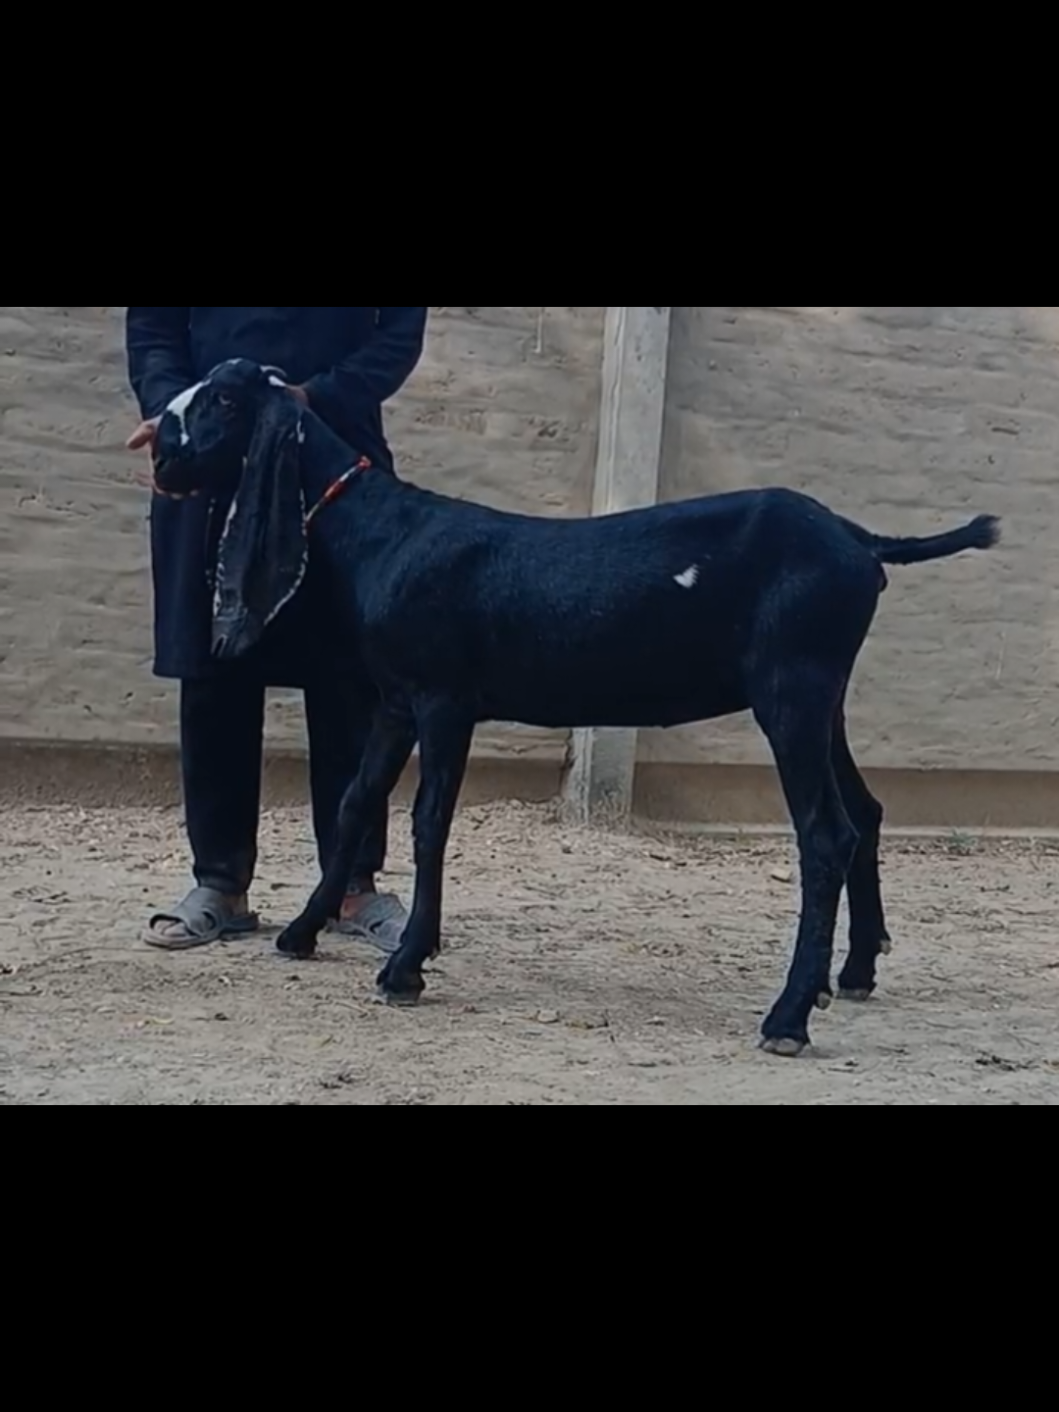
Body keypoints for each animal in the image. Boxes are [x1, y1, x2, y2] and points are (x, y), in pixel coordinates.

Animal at [153, 358, 1001, 1057]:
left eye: (223, 400)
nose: (161, 450)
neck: (387, 533)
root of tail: (863, 542)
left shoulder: (444, 701)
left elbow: (429, 824)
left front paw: (405, 967)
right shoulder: (394, 703)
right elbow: (357, 804)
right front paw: (302, 931)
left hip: (792, 693)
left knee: (825, 835)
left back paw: (788, 1015)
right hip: (824, 701)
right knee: (865, 813)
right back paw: (851, 972)